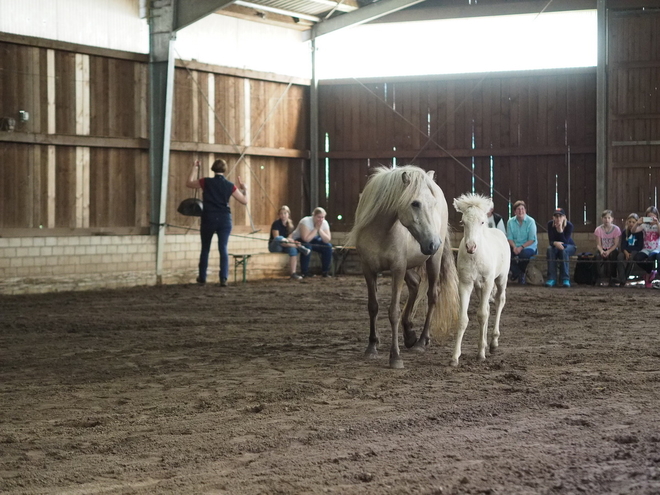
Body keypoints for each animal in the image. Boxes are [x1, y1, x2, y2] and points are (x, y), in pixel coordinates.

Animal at [346, 166, 458, 368]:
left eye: (433, 203)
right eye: (415, 203)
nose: (433, 243)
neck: (380, 231)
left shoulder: (397, 270)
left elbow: (393, 312)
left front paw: (395, 357)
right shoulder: (368, 270)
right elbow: (373, 307)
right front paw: (372, 346)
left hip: (432, 261)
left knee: (432, 295)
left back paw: (421, 341)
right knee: (415, 284)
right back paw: (409, 334)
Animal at [452, 194, 508, 368]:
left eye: (482, 222)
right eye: (463, 222)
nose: (471, 247)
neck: (475, 258)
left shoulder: (488, 282)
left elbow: (482, 315)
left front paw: (481, 354)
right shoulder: (465, 284)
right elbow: (463, 319)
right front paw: (455, 357)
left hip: (501, 279)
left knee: (499, 301)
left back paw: (493, 343)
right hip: (478, 287)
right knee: (489, 308)